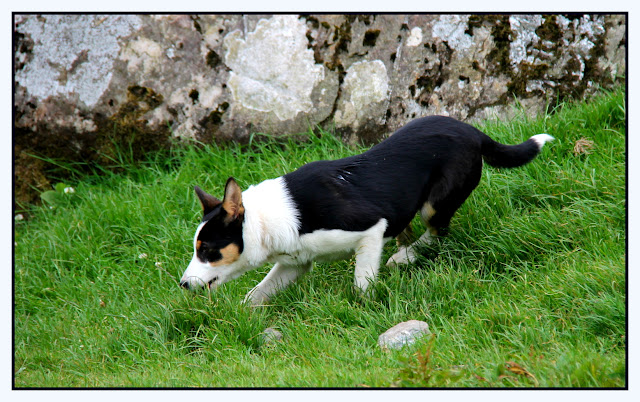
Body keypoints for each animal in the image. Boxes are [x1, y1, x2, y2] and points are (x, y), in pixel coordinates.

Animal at [180, 116, 553, 305]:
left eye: (208, 250)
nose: (183, 285)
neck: (265, 222)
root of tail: (474, 131)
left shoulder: (370, 230)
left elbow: (362, 282)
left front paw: (364, 308)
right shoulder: (294, 264)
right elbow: (256, 294)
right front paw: (245, 317)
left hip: (434, 204)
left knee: (437, 231)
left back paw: (404, 257)